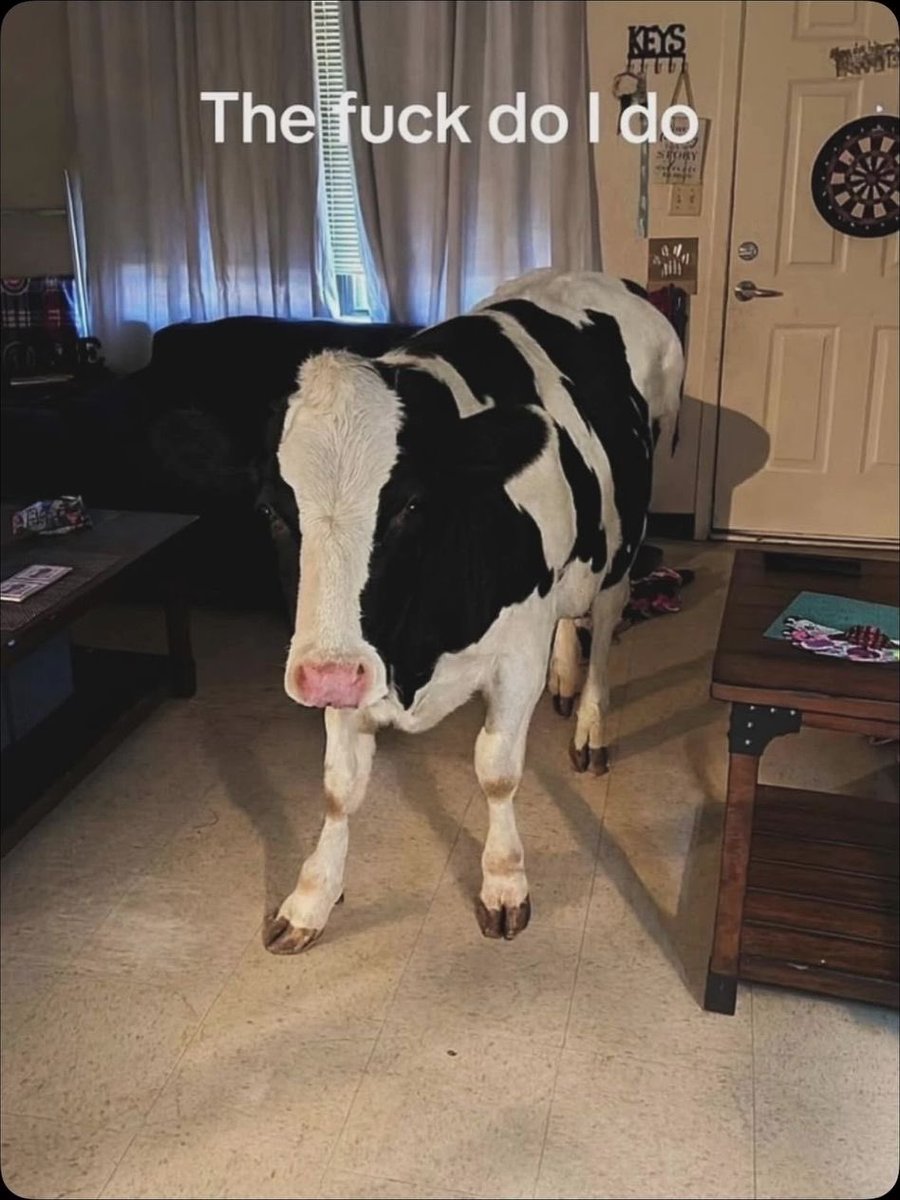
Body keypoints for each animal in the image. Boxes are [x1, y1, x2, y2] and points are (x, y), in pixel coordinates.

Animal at [266, 269, 683, 953]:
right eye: (274, 510)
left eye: (410, 505)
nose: (324, 677)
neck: (415, 656)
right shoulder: (357, 658)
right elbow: (338, 789)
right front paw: (311, 899)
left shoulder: (513, 659)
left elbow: (497, 771)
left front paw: (505, 884)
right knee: (569, 614)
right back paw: (565, 678)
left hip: (626, 534)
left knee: (604, 623)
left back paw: (590, 723)